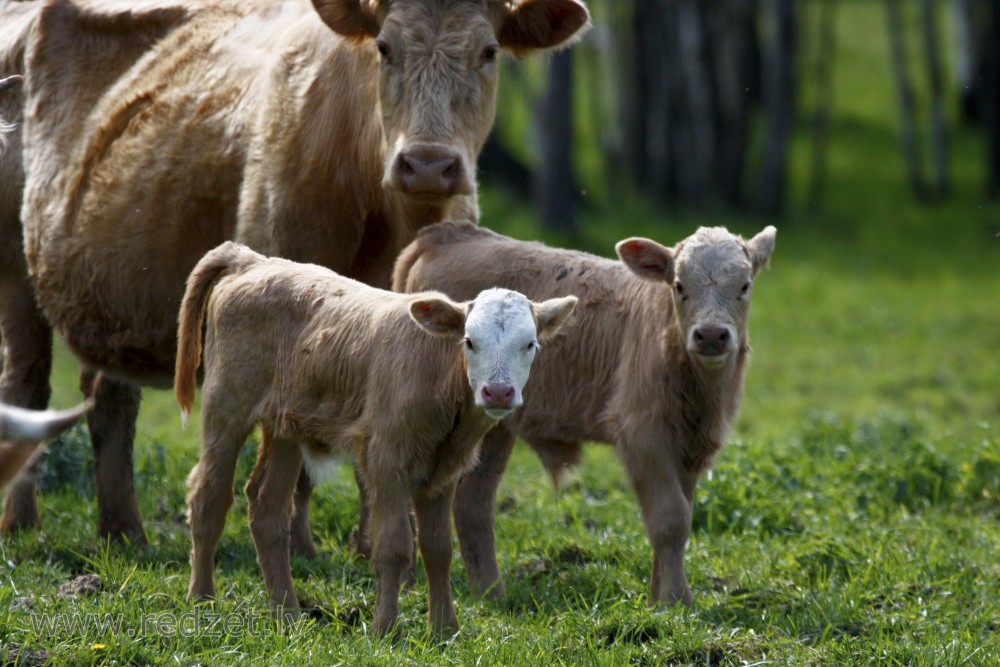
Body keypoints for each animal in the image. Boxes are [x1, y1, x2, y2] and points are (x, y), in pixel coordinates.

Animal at [0, 0, 588, 544]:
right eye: (384, 48)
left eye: (488, 52)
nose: (427, 164)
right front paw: (303, 544)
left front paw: (366, 542)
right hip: (17, 281)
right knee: (27, 386)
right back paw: (23, 522)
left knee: (109, 401)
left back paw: (123, 531)